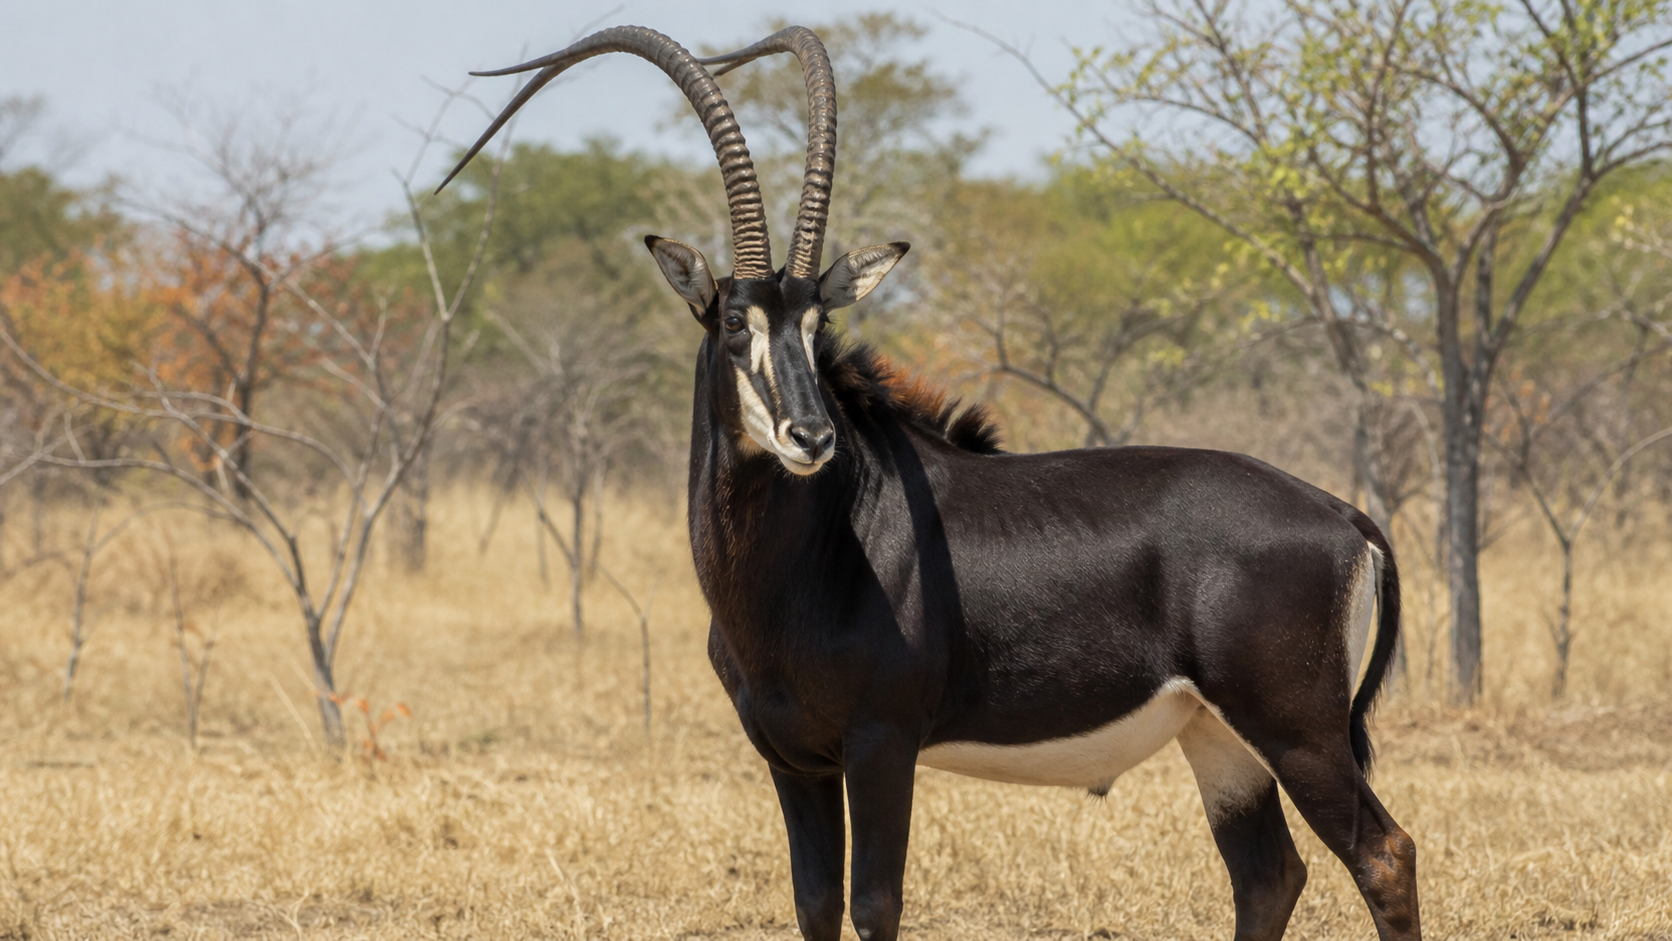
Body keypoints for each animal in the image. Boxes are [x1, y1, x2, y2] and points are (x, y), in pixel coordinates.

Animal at [443, 25, 1421, 941]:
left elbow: (875, 904)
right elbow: (814, 904)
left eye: (817, 324)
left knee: (1383, 853)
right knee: (1267, 874)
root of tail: (1345, 517)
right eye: (733, 321)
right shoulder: (793, 759)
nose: (810, 434)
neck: (816, 553)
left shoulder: (883, 744)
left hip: (1296, 730)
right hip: (1218, 738)